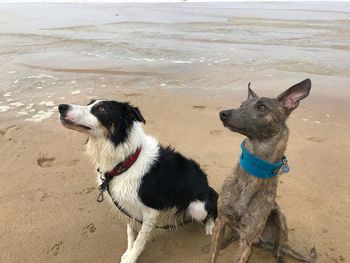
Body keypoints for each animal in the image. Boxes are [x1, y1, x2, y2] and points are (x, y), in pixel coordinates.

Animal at [57, 100, 217, 262]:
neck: (126, 162)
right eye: (89, 103)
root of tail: (206, 184)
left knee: (212, 207)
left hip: (197, 208)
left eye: (102, 109)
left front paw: (132, 257)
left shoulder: (151, 211)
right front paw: (129, 251)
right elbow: (130, 230)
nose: (61, 107)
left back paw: (210, 225)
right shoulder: (126, 205)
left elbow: (140, 238)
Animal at [209, 80, 316, 263]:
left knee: (277, 250)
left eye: (261, 107)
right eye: (242, 105)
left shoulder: (247, 237)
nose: (223, 113)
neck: (254, 168)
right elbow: (212, 254)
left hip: (280, 218)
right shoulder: (221, 219)